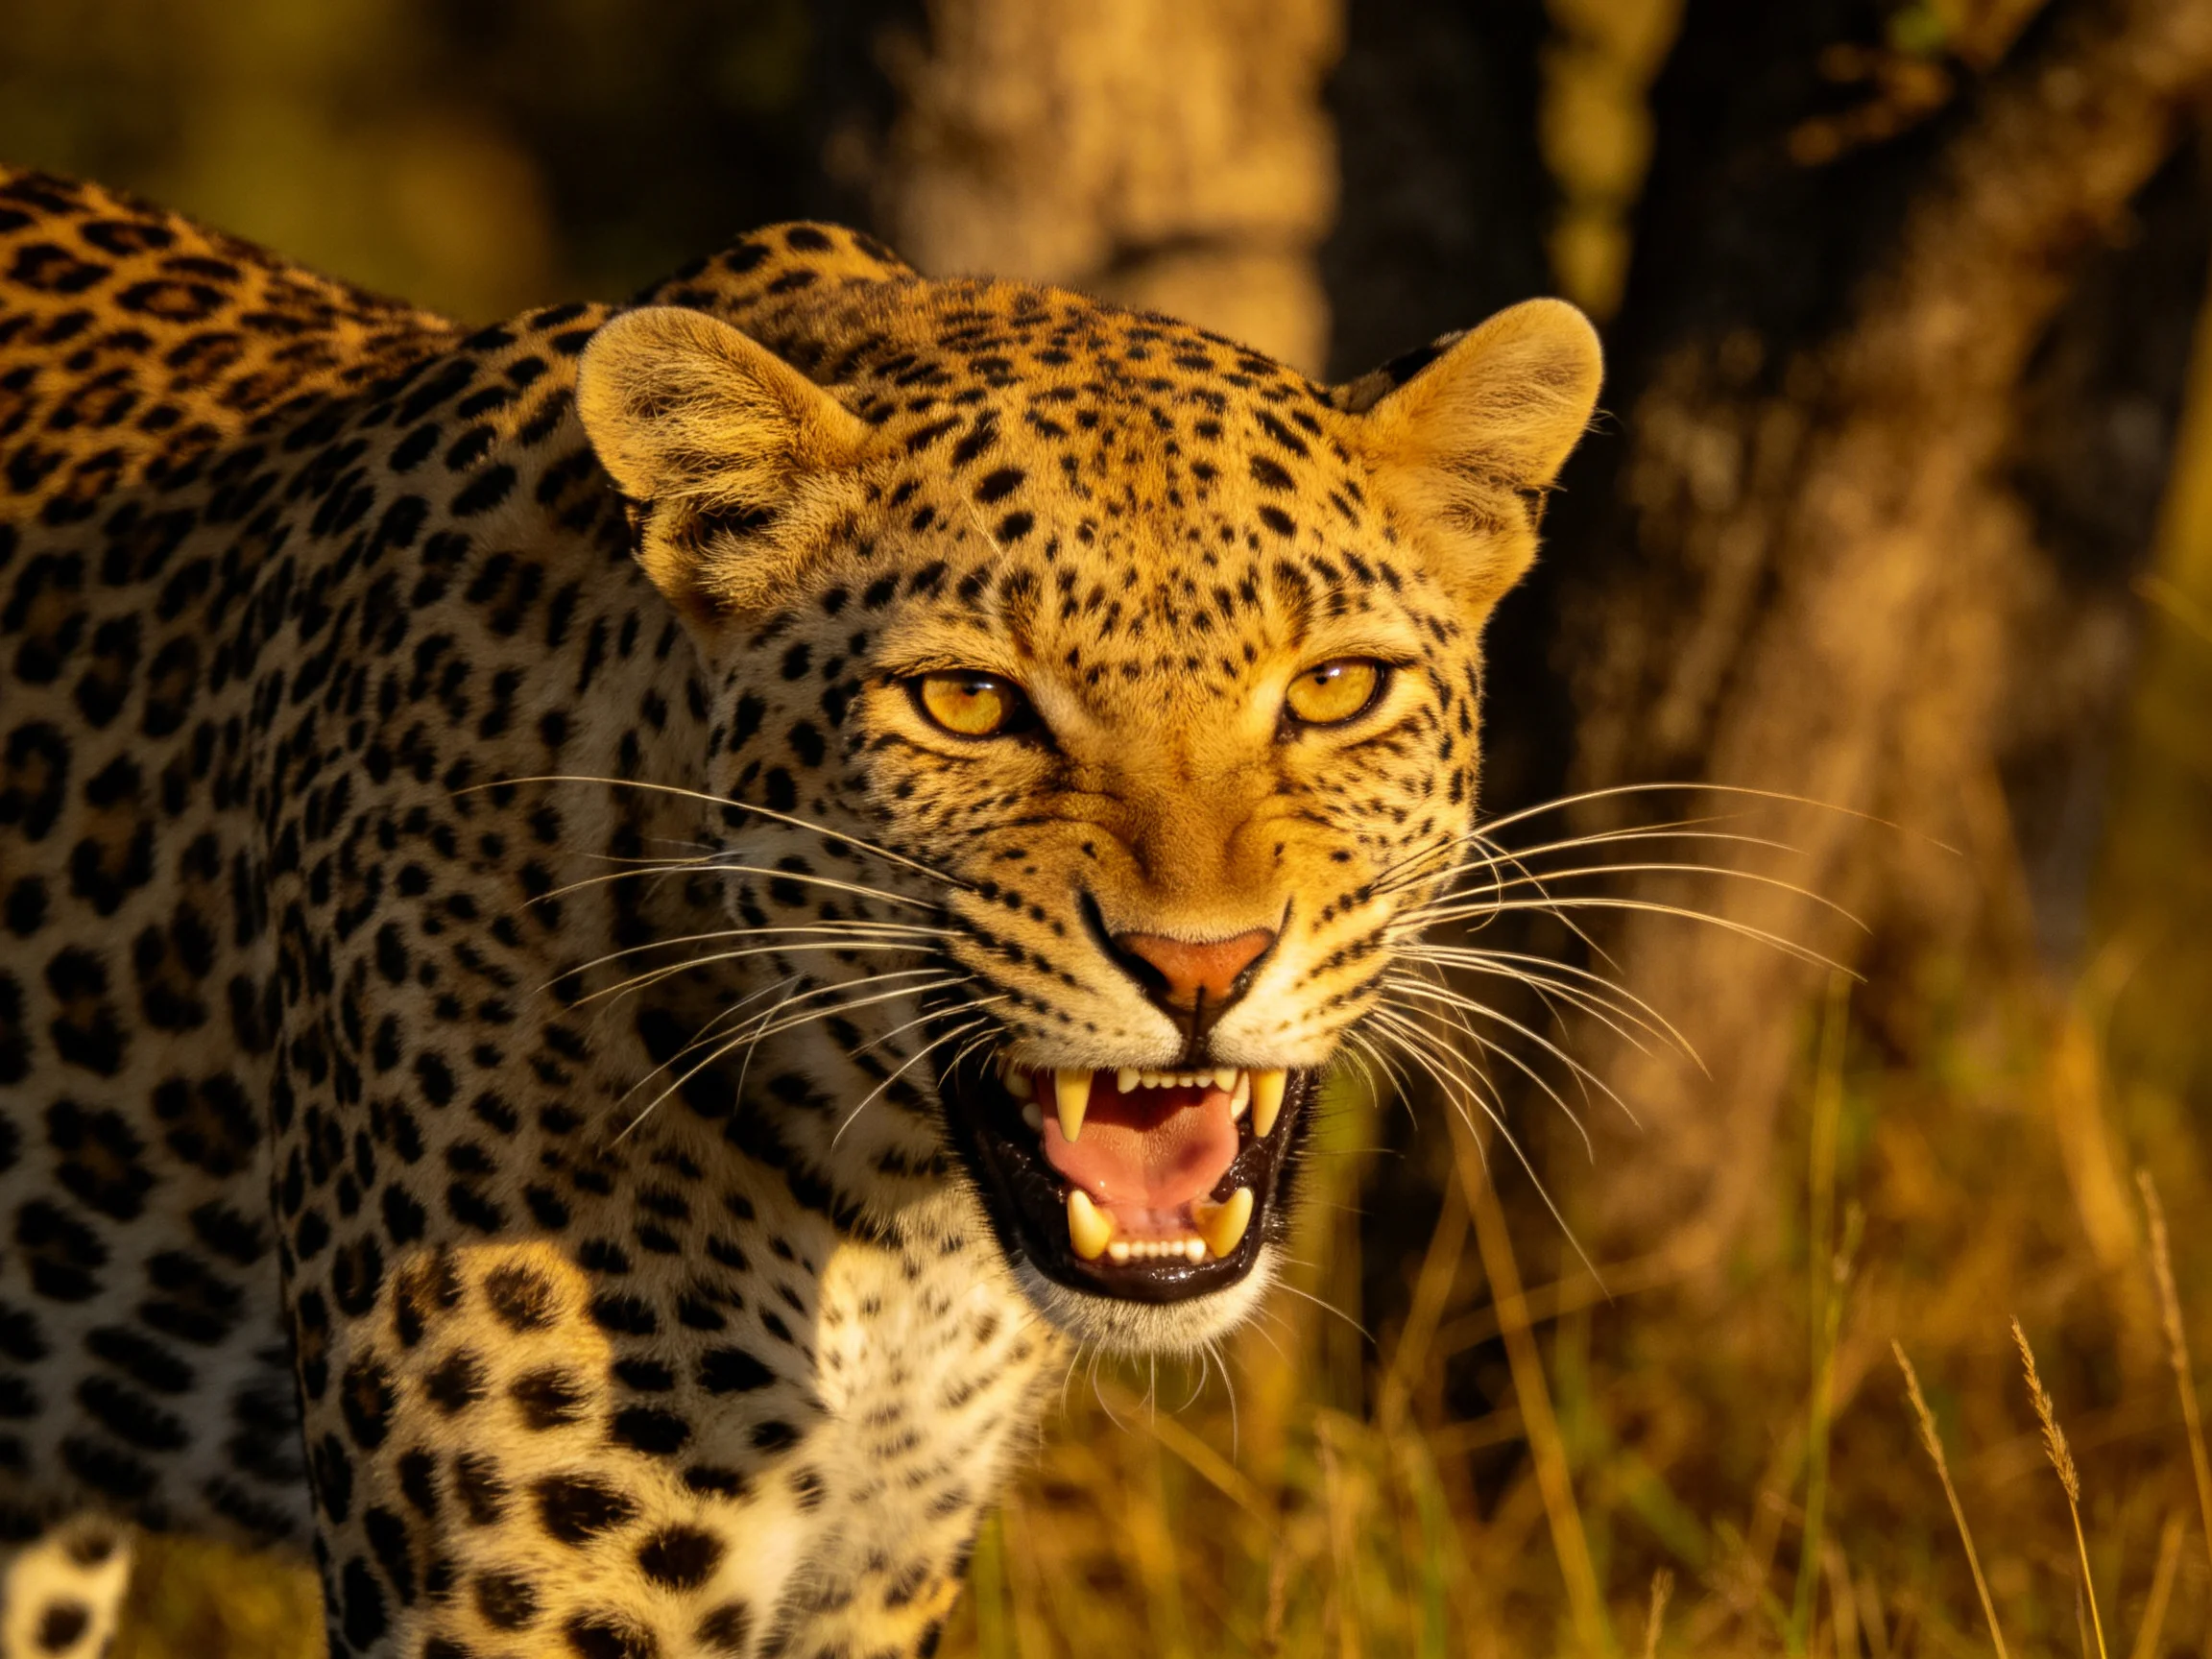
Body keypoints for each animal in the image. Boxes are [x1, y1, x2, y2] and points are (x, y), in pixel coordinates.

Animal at [0, 165, 1601, 1658]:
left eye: (1337, 688)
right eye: (967, 705)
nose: (1198, 965)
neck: (894, 1229)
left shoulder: (880, 1570)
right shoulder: (527, 1597)